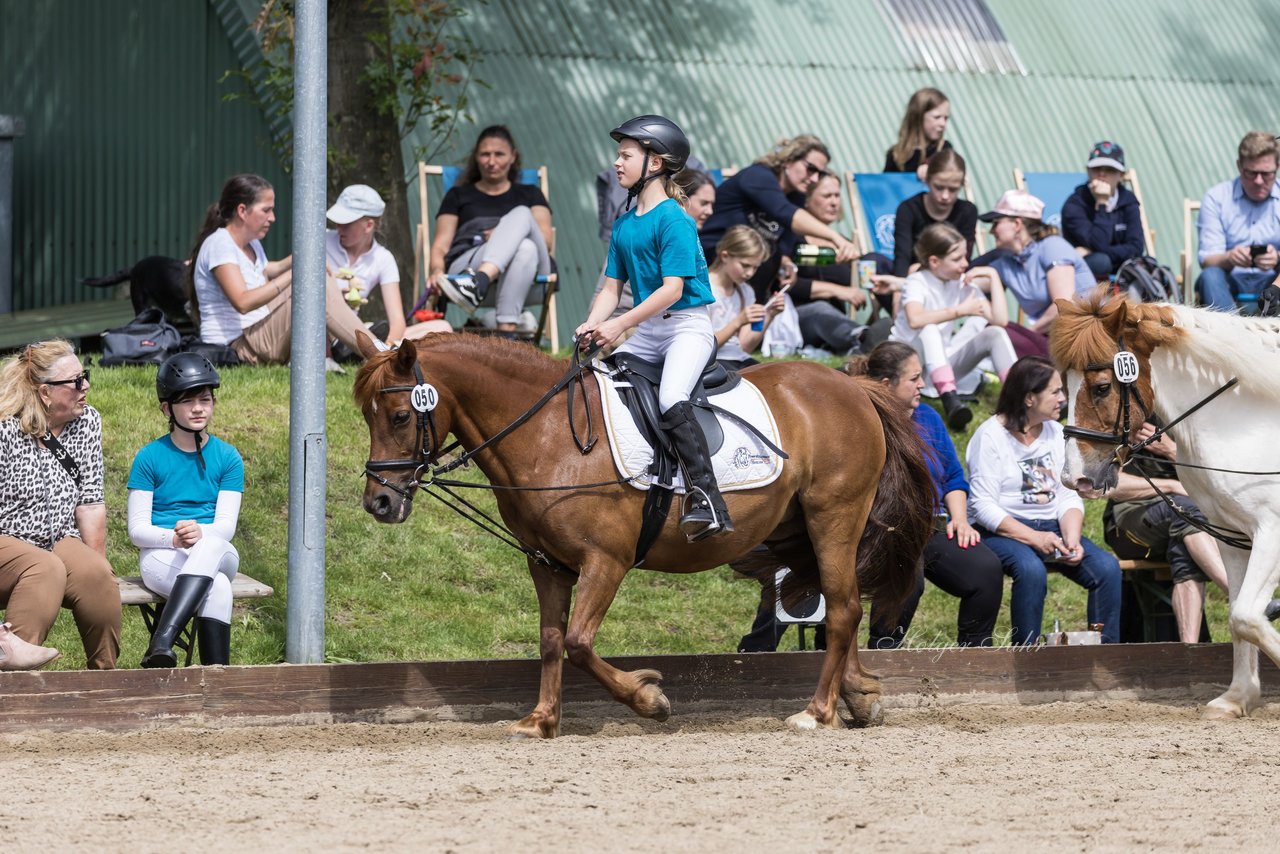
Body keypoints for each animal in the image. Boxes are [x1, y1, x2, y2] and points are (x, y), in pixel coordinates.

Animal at [353, 338, 931, 737]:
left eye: (401, 416)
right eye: (366, 415)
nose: (378, 503)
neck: (546, 435)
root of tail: (853, 386)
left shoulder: (604, 560)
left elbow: (578, 643)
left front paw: (649, 699)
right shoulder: (545, 563)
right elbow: (550, 641)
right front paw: (540, 720)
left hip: (835, 516)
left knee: (843, 608)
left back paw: (816, 712)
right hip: (798, 530)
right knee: (843, 605)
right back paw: (858, 696)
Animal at [1049, 297, 1280, 717]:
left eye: (1102, 387)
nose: (1076, 479)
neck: (1246, 419)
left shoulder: (1272, 530)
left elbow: (1246, 616)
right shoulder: (1234, 537)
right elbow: (1240, 616)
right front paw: (1236, 698)